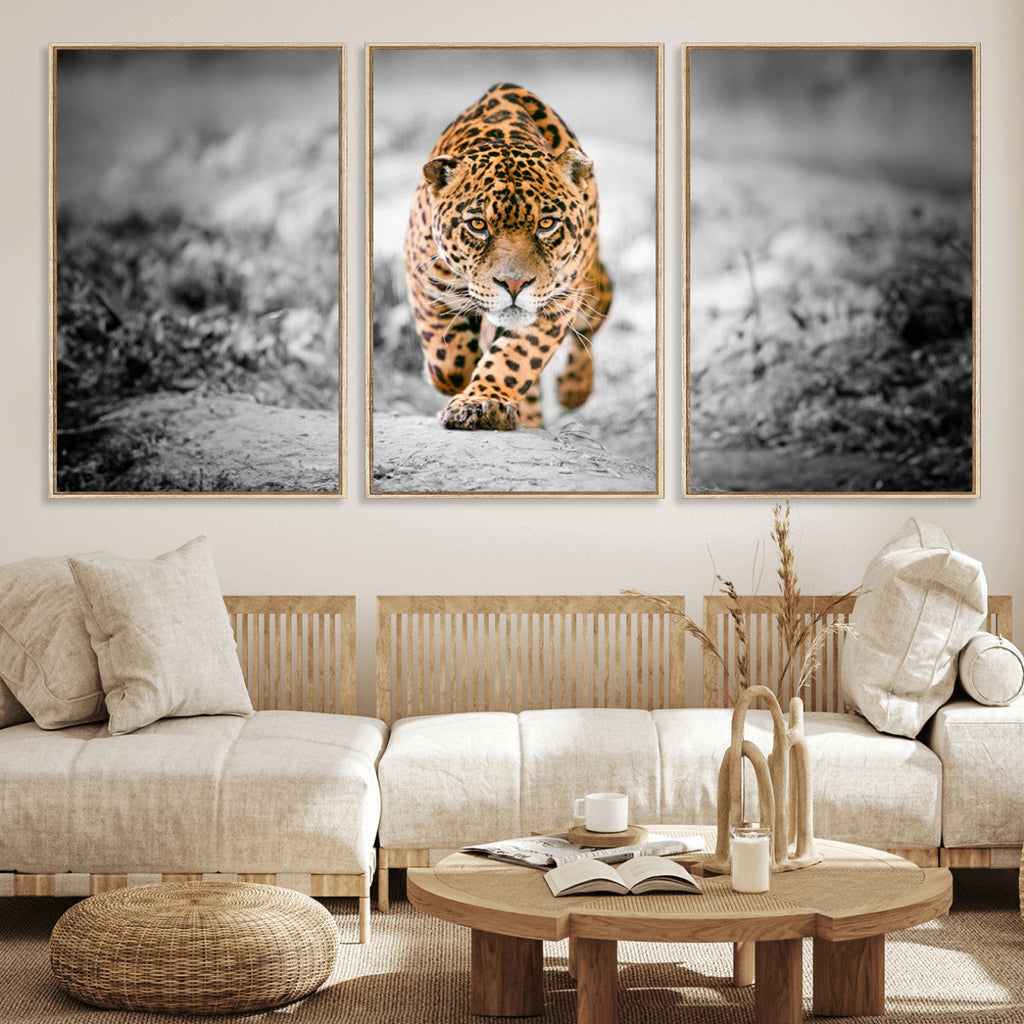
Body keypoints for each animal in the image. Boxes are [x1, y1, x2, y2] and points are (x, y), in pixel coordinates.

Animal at [403, 82, 612, 431]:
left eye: (546, 223)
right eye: (478, 225)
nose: (514, 285)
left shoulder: (557, 301)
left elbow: (516, 358)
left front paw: (481, 402)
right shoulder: (426, 281)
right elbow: (448, 360)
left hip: (591, 289)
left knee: (588, 328)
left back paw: (574, 389)